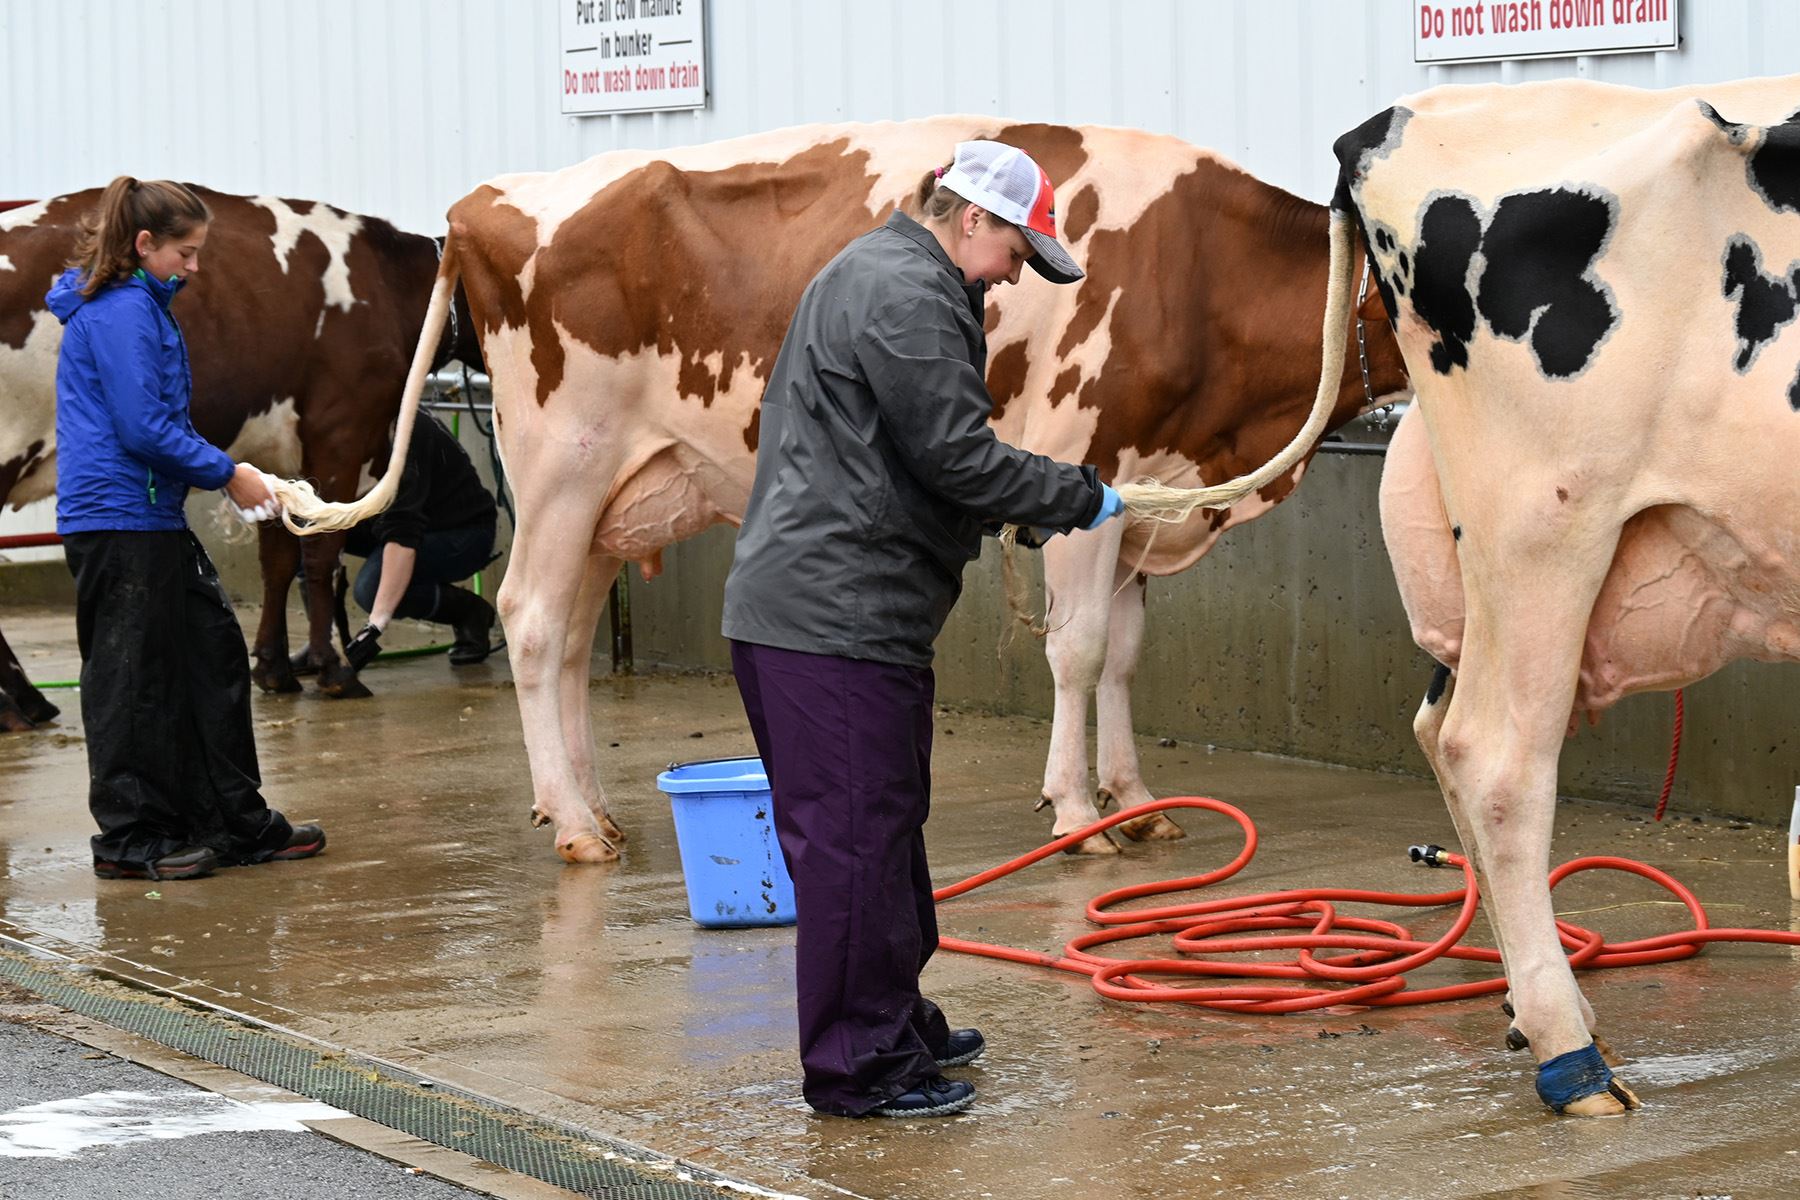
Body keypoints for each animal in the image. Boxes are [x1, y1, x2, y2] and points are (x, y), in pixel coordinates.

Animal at [0, 188, 486, 723]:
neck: (388, 285)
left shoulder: (279, 457)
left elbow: (277, 560)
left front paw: (275, 669)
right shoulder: (340, 433)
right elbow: (322, 554)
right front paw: (334, 669)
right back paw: (21, 703)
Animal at [298, 115, 1404, 863]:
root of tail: (484, 201)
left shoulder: (1149, 491)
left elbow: (1127, 655)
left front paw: (1138, 802)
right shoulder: (1088, 469)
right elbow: (1083, 650)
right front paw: (1081, 814)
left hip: (612, 494)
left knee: (568, 637)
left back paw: (591, 806)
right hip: (561, 461)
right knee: (529, 619)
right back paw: (574, 827)